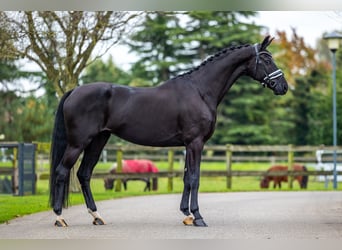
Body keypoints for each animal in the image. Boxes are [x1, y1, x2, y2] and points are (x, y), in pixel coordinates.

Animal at [49, 36, 288, 228]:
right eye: (266, 59)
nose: (283, 87)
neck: (200, 90)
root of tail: (74, 91)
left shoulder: (188, 145)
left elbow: (186, 178)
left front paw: (187, 215)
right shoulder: (196, 143)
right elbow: (195, 178)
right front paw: (198, 217)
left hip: (98, 140)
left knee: (84, 174)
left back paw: (96, 216)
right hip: (78, 143)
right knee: (62, 172)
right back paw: (60, 218)